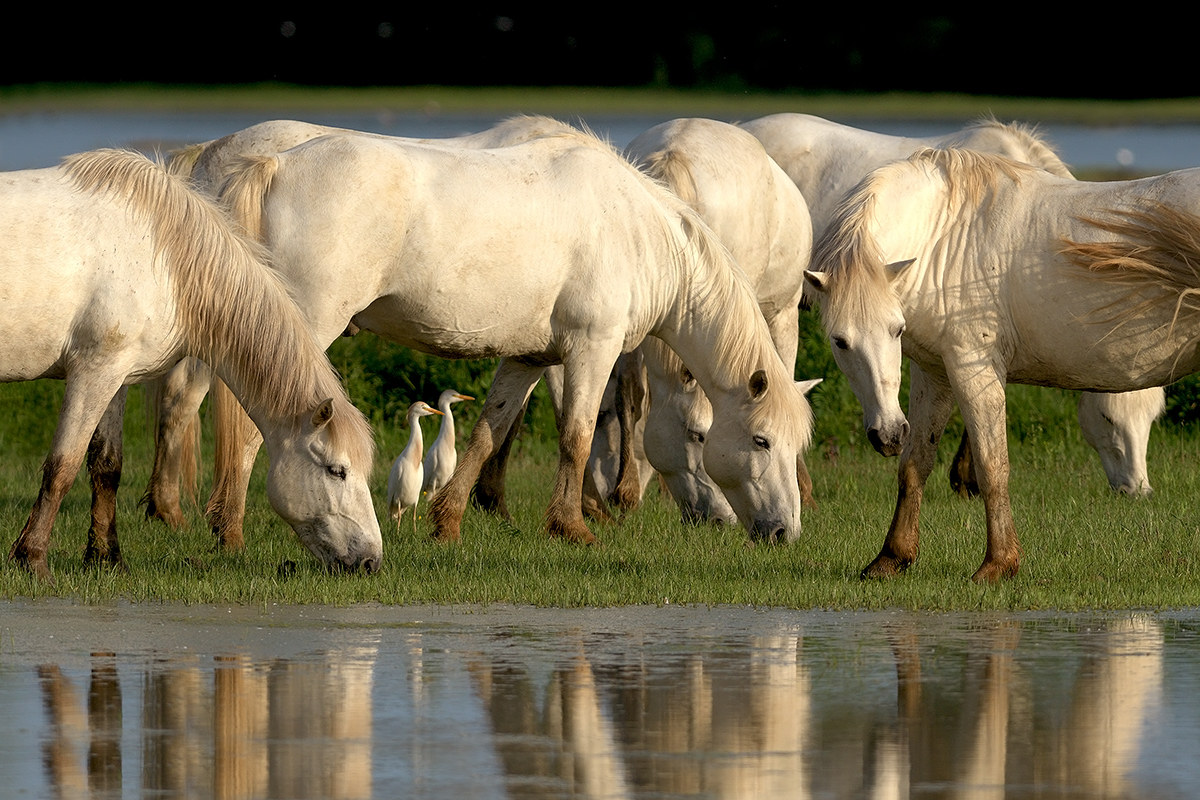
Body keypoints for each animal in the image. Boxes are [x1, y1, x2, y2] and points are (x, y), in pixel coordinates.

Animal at [1, 149, 381, 580]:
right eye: (337, 470)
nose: (371, 560)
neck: (160, 253)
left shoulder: (115, 377)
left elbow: (106, 466)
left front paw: (106, 557)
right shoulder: (92, 372)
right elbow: (61, 468)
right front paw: (32, 559)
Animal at [212, 124, 815, 545]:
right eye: (760, 440)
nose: (784, 531)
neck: (636, 229)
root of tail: (272, 165)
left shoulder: (528, 358)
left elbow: (487, 434)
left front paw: (448, 524)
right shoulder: (592, 349)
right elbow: (575, 436)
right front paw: (572, 527)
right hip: (300, 330)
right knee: (252, 426)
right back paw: (230, 534)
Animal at [803, 147, 1200, 582]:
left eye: (896, 330)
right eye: (840, 341)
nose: (888, 435)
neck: (945, 237)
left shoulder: (973, 368)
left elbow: (992, 467)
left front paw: (997, 564)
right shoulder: (934, 374)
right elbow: (915, 464)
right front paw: (891, 558)